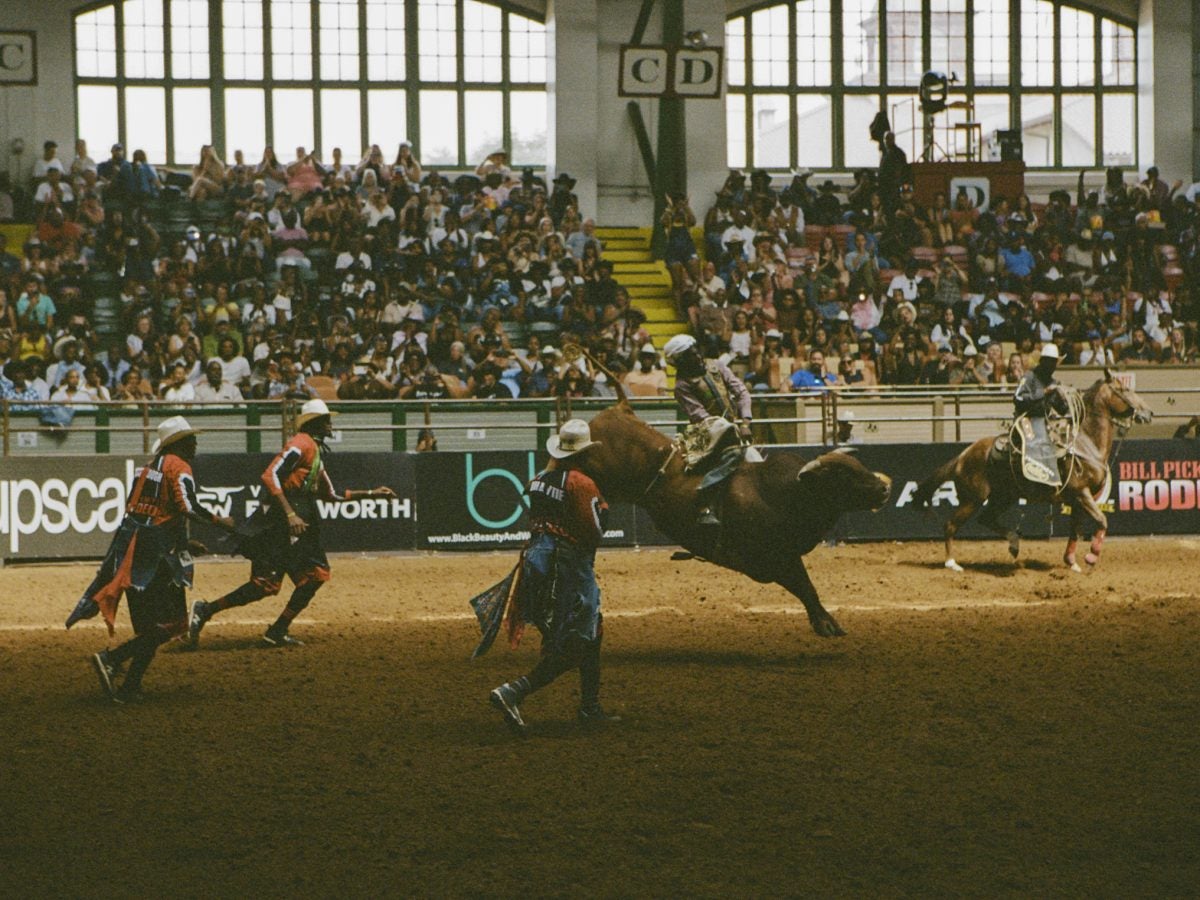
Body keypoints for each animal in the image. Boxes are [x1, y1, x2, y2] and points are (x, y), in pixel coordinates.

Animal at [571, 391, 892, 638]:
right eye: (843, 475)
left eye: (857, 465)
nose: (884, 487)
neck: (784, 493)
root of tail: (617, 409)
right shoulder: (774, 559)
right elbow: (805, 586)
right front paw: (825, 623)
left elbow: (805, 586)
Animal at [916, 369, 1152, 573]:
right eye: (1125, 389)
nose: (1148, 412)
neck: (1085, 442)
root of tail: (963, 455)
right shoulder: (1081, 493)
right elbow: (1102, 520)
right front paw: (1091, 556)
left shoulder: (1078, 500)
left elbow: (1075, 530)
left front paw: (1071, 562)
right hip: (972, 499)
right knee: (950, 525)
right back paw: (951, 563)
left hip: (1003, 497)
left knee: (986, 519)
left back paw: (1014, 544)